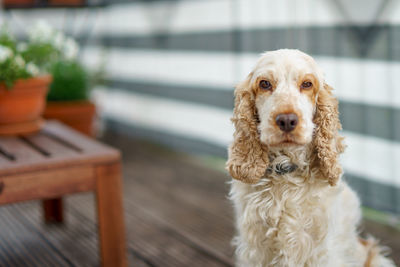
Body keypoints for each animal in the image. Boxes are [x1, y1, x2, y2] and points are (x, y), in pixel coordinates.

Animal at [227, 49, 396, 266]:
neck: (287, 171)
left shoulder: (322, 251)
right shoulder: (254, 247)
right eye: (264, 83)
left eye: (307, 84)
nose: (287, 120)